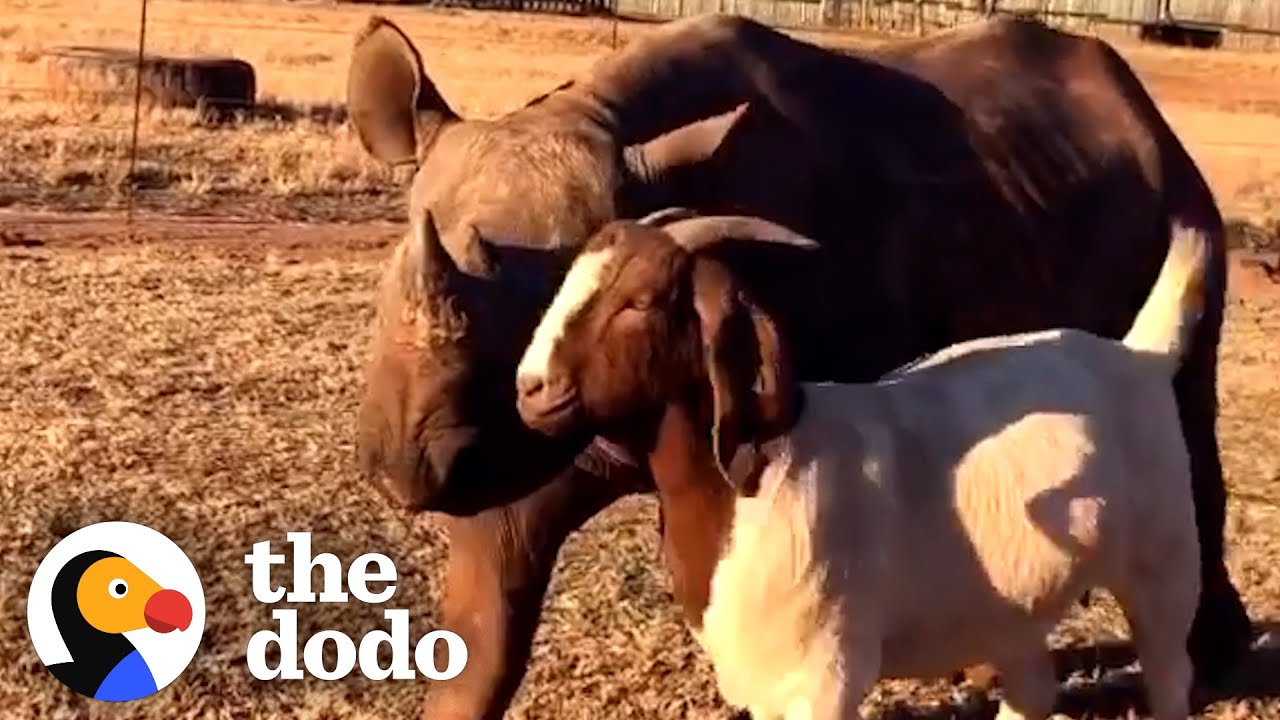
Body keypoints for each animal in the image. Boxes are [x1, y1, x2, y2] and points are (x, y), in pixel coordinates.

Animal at [514, 212, 1203, 717]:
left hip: (1164, 564)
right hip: (1014, 606)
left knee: (1170, 670)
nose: (531, 388)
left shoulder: (823, 675)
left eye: (641, 301)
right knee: (1033, 685)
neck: (752, 480)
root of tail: (1140, 356)